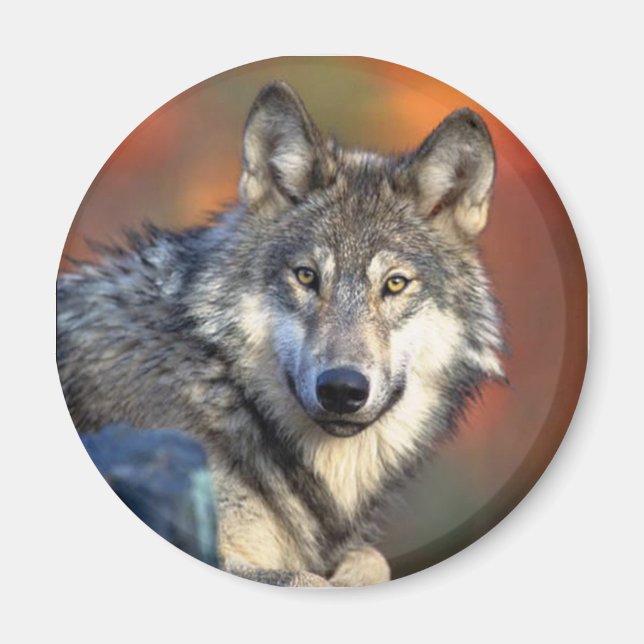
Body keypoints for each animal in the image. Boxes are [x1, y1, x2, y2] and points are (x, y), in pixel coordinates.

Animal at [57, 81, 505, 587]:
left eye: (394, 284)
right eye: (307, 276)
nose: (341, 389)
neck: (223, 387)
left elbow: (373, 560)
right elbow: (306, 578)